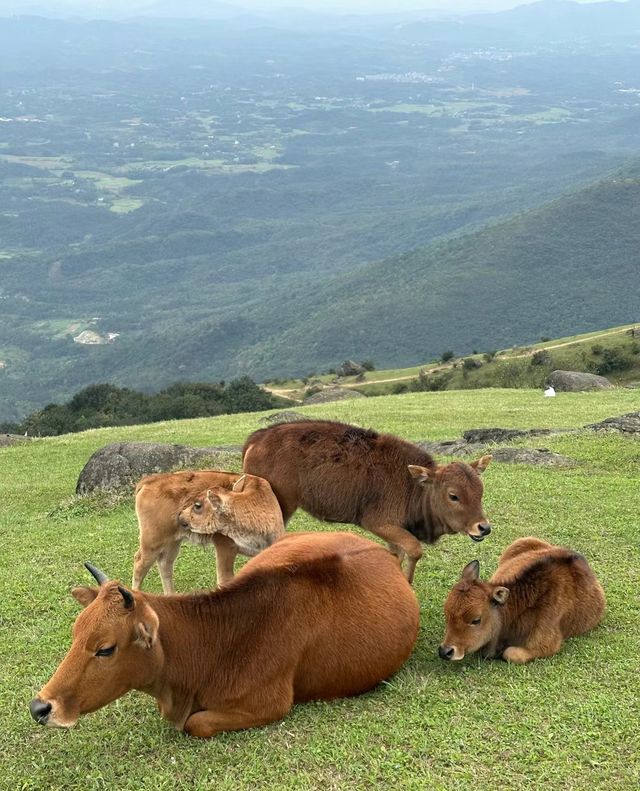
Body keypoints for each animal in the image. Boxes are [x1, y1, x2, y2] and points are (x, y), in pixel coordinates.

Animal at [28, 528, 420, 740]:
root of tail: (386, 554)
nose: (40, 707)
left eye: (105, 649)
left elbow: (196, 723)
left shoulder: (269, 705)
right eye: (75, 633)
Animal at [132, 470, 282, 592]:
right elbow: (225, 579)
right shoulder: (225, 548)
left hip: (173, 542)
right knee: (139, 563)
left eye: (197, 505)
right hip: (152, 542)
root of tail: (150, 481)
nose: (180, 516)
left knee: (165, 564)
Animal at [242, 420, 492, 580]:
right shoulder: (379, 523)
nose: (483, 528)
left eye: (480, 491)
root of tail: (257, 438)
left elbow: (398, 553)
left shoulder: (394, 531)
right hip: (281, 508)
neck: (414, 486)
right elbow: (414, 550)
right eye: (453, 495)